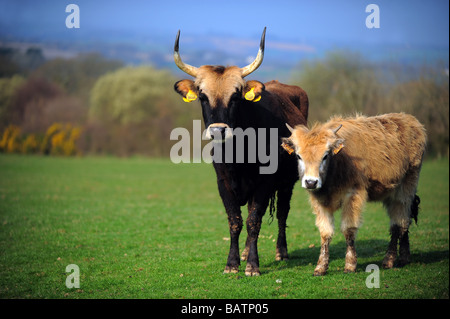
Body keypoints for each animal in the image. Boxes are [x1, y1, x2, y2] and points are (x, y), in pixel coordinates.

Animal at [284, 114, 428, 276]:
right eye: (298, 156)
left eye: (325, 156)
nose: (311, 182)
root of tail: (410, 120)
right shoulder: (320, 202)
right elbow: (325, 233)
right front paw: (321, 267)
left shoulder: (353, 195)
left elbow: (348, 229)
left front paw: (350, 265)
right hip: (391, 192)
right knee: (405, 221)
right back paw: (404, 257)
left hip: (405, 189)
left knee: (398, 224)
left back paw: (389, 260)